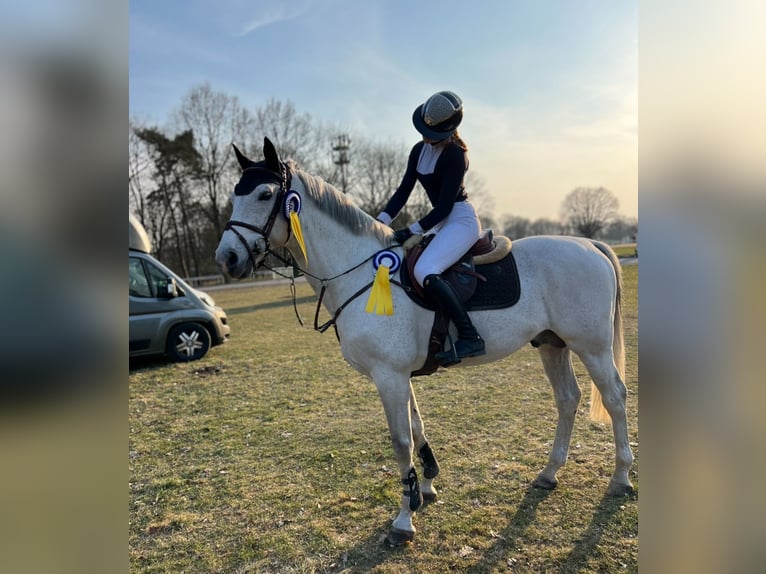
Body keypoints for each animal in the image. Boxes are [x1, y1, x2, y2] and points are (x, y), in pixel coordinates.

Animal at [215, 137, 634, 545]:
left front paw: (404, 518)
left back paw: (621, 478)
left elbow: (400, 440)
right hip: (552, 344)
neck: (358, 272)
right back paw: (549, 473)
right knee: (567, 399)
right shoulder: (399, 375)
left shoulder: (389, 375)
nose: (227, 258)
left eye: (265, 194)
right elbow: (416, 427)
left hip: (591, 347)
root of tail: (591, 245)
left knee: (614, 396)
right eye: (235, 194)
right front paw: (427, 484)